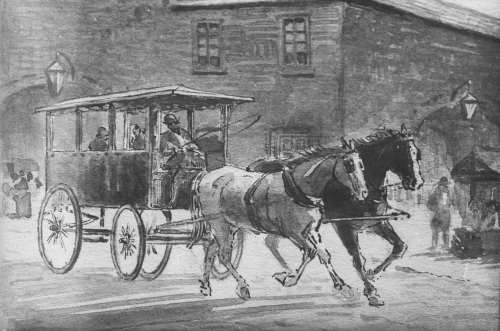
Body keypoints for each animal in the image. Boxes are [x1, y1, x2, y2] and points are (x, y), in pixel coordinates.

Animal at [262, 126, 422, 308]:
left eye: (417, 153)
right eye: (403, 153)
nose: (417, 182)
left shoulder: (376, 222)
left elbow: (399, 247)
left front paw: (373, 275)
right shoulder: (344, 226)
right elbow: (357, 259)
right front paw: (371, 292)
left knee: (273, 243)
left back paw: (290, 274)